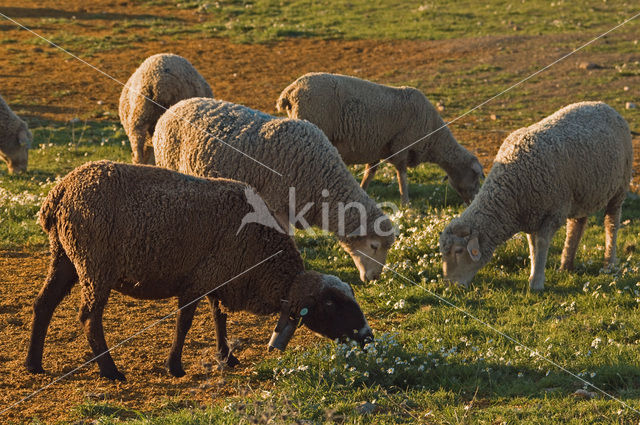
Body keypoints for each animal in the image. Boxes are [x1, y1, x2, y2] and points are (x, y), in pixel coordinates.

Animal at [26, 161, 376, 380]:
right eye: (330, 305)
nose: (368, 338)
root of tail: (59, 192)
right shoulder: (198, 280)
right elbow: (185, 323)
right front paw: (175, 366)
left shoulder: (217, 276)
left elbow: (219, 316)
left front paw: (227, 356)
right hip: (95, 263)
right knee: (89, 317)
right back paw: (110, 371)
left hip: (65, 256)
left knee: (43, 304)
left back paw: (34, 365)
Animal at [276, 72, 484, 205]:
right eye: (476, 177)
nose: (472, 202)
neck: (434, 137)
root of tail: (290, 91)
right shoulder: (401, 146)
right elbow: (402, 177)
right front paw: (406, 204)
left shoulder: (376, 149)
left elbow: (369, 174)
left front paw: (362, 193)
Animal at [438, 101, 632, 290]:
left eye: (458, 251)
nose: (450, 286)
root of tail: (605, 105)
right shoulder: (531, 215)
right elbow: (532, 246)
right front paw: (533, 274)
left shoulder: (553, 213)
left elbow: (542, 243)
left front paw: (537, 282)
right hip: (582, 193)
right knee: (577, 226)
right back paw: (566, 265)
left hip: (619, 188)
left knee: (611, 224)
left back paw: (609, 264)